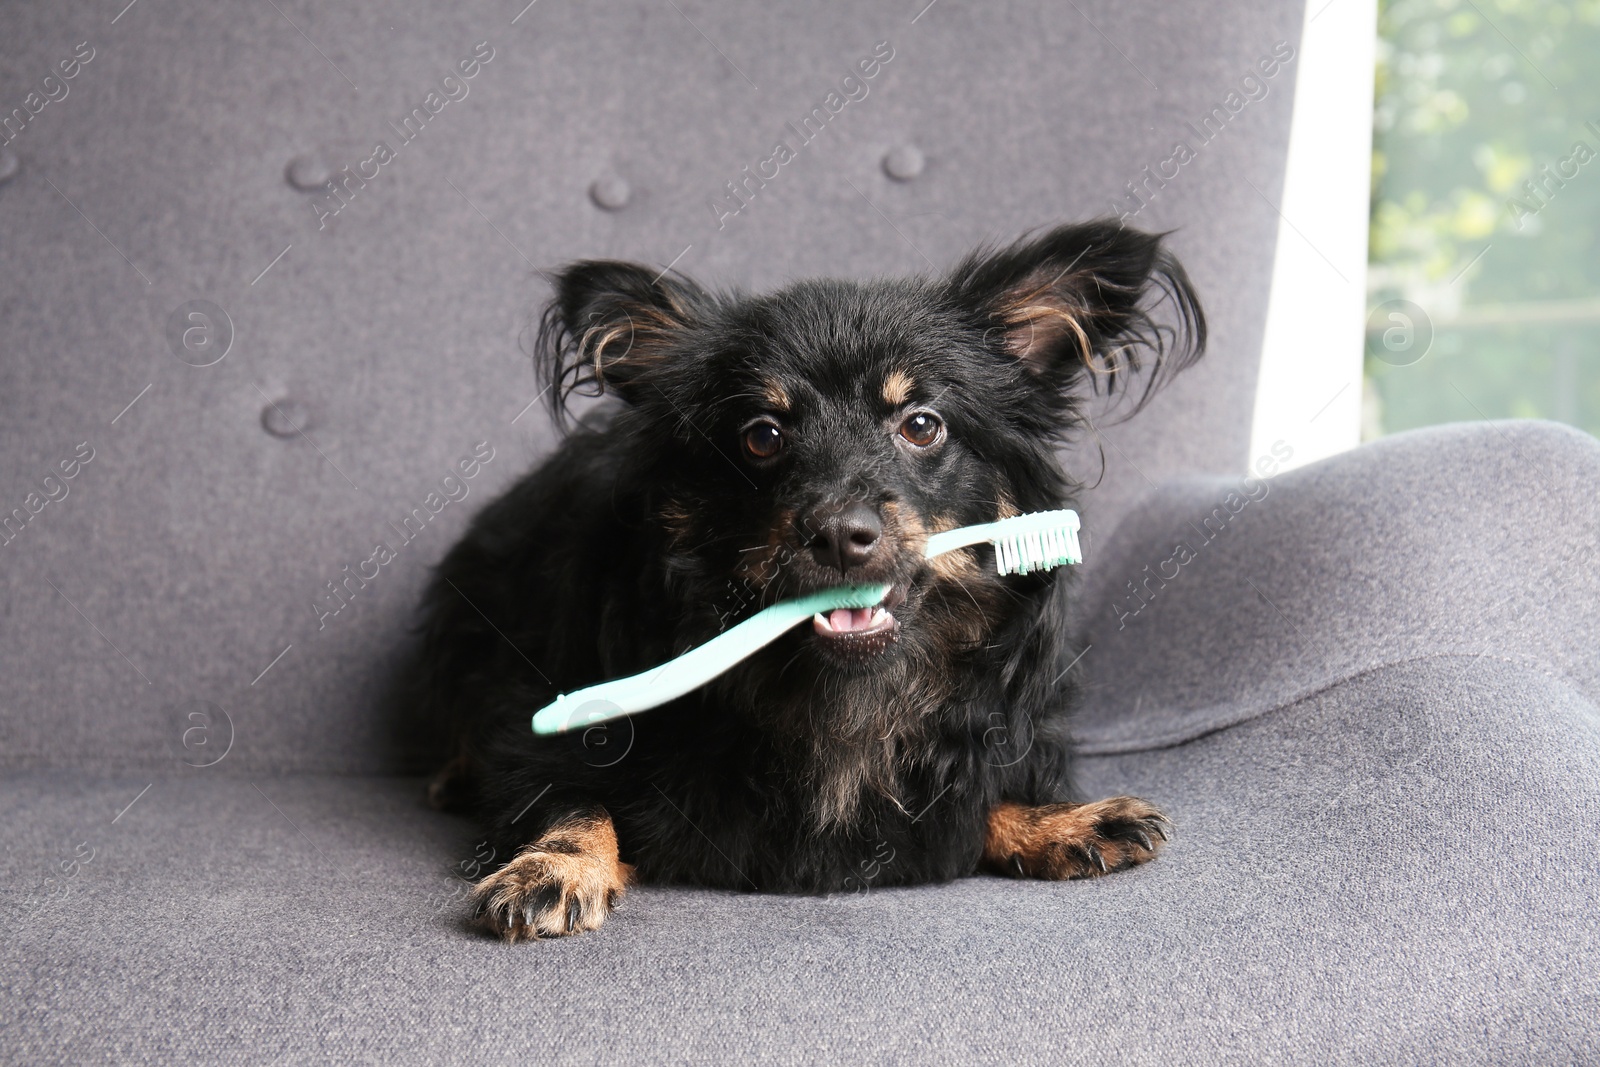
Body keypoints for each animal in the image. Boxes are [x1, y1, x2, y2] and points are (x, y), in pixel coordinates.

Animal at [419, 220, 1203, 940]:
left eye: (922, 425)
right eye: (762, 436)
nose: (838, 533)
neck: (845, 696)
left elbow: (975, 799)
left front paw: (1057, 820)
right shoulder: (535, 732)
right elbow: (576, 802)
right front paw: (554, 867)